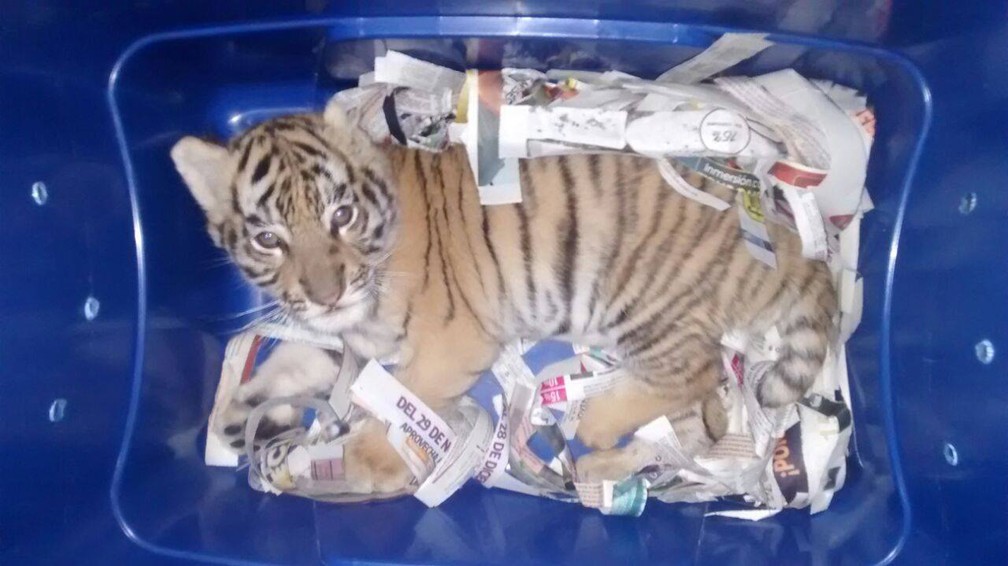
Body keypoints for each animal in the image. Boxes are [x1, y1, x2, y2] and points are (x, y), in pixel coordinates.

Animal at [171, 96, 837, 493]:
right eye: (268, 238)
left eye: (341, 215)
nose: (327, 294)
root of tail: (786, 238)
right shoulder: (350, 340)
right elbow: (289, 363)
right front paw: (237, 418)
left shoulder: (451, 340)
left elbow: (405, 401)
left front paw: (364, 460)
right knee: (700, 429)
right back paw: (602, 468)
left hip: (645, 303)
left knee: (695, 373)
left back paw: (597, 426)